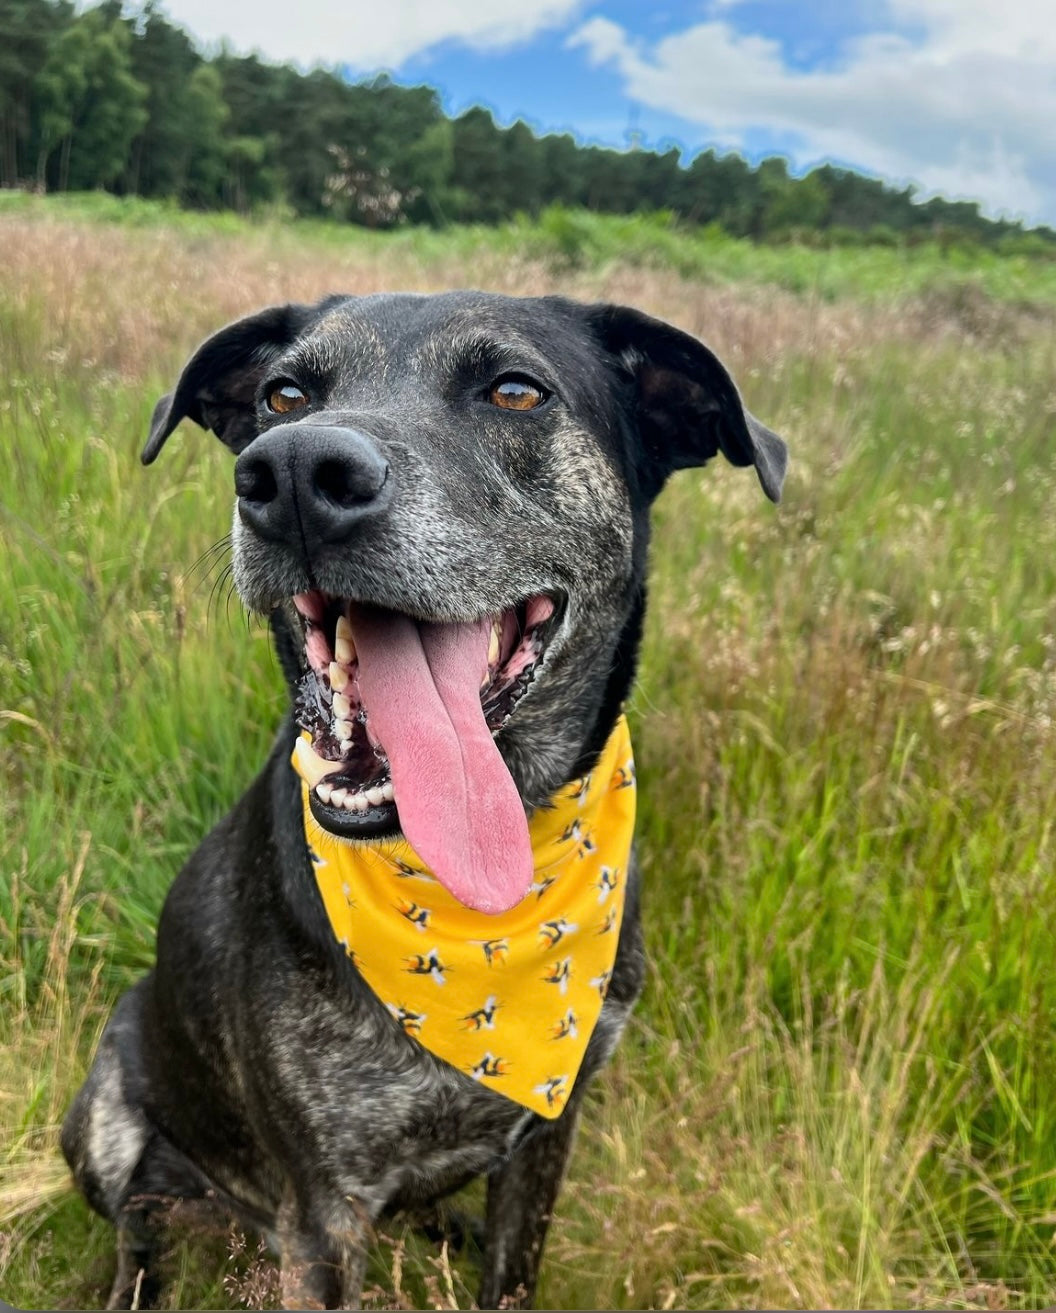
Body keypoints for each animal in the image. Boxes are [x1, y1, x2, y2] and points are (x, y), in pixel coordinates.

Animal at [59, 292, 782, 1307]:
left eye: (516, 390)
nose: (293, 474)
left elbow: (511, 1270)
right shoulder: (324, 1212)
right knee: (137, 1215)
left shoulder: (550, 1127)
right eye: (284, 395)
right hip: (106, 1099)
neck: (485, 903)